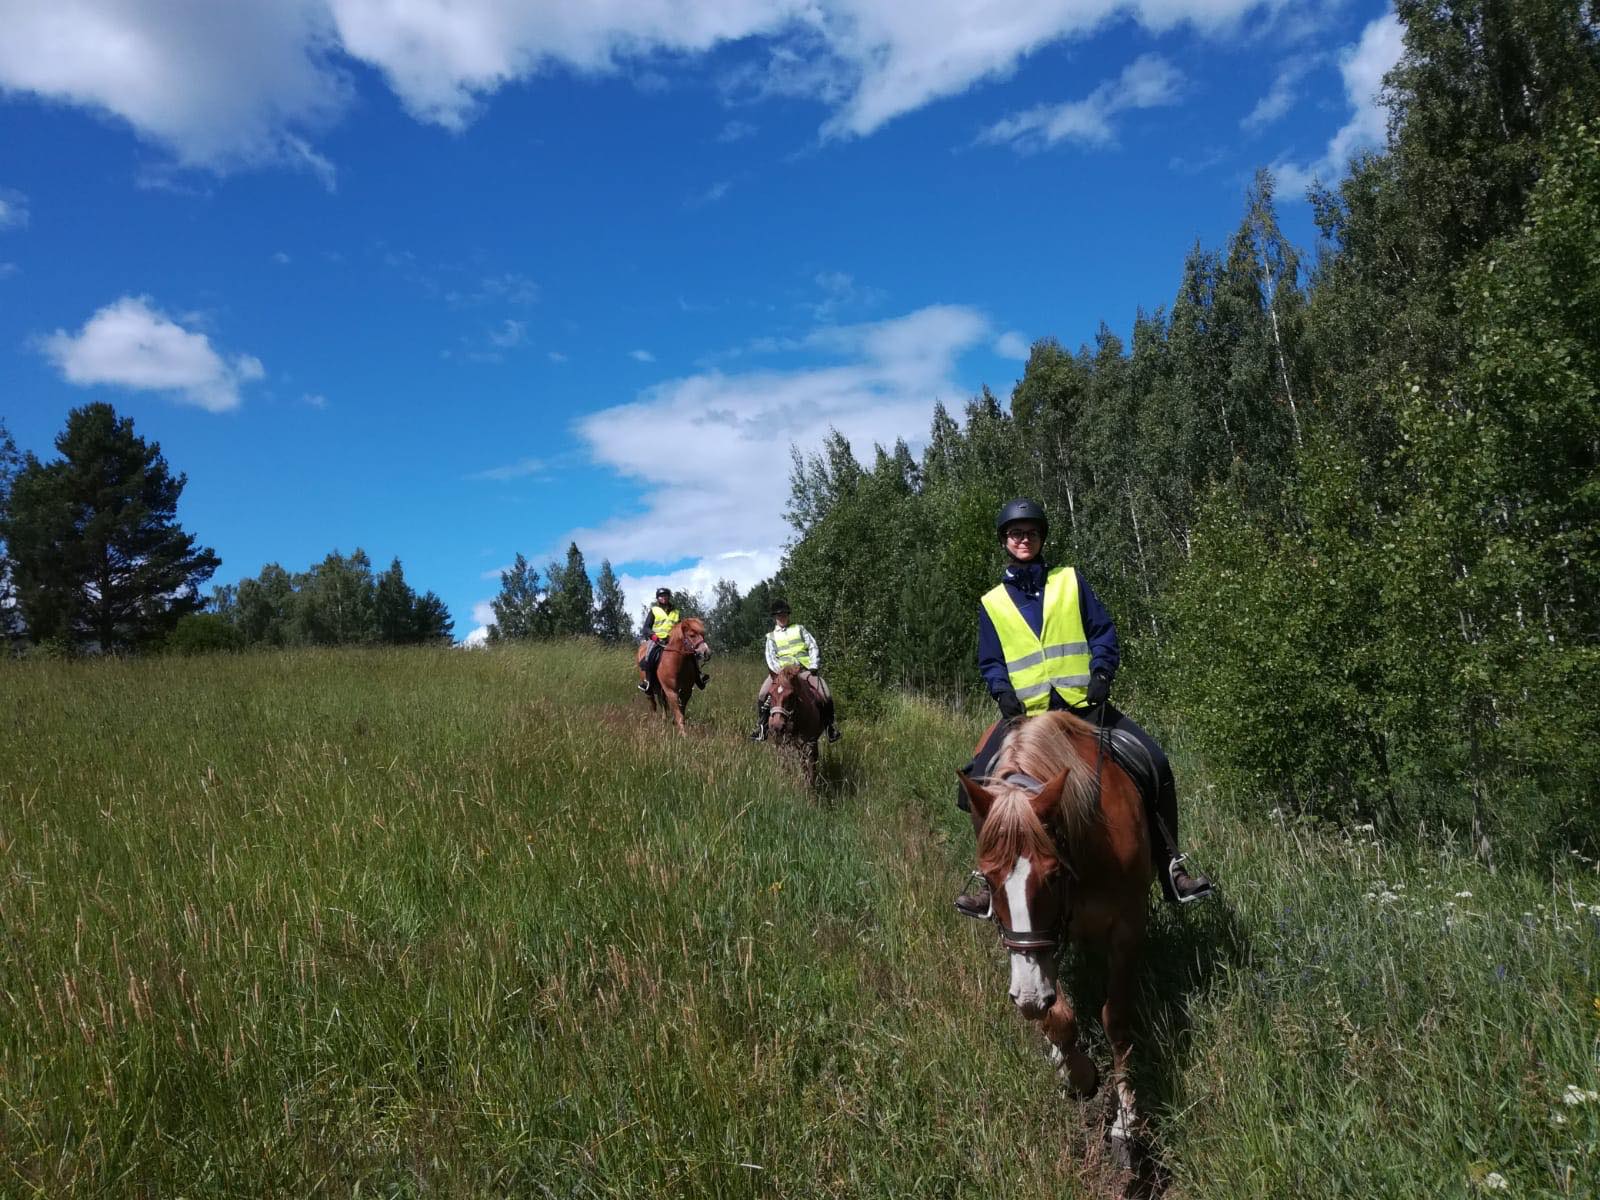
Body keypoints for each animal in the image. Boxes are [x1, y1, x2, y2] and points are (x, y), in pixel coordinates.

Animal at [953, 710, 1158, 1171]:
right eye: (988, 879)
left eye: (1052, 875)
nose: (1026, 997)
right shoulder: (1040, 942)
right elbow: (1057, 1015)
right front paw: (1078, 1073)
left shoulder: (1127, 928)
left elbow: (1116, 1018)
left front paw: (1125, 1125)